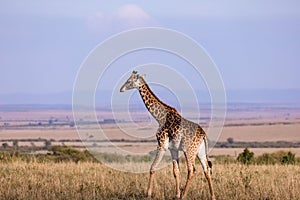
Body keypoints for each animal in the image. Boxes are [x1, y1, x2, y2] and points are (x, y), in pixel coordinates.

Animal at [119, 71, 216, 199]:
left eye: (129, 81)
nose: (121, 89)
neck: (159, 117)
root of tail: (203, 135)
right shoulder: (172, 149)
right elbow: (176, 171)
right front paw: (176, 195)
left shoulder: (161, 145)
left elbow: (152, 168)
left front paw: (148, 194)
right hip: (200, 151)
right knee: (206, 169)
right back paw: (212, 196)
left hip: (189, 150)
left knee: (192, 170)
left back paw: (184, 196)